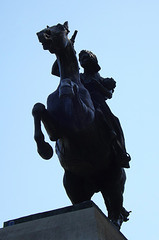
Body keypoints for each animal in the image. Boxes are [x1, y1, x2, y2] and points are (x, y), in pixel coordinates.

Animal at [32, 21, 129, 229]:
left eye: (59, 27)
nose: (42, 34)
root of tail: (97, 184)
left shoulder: (81, 119)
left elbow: (72, 90)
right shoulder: (59, 129)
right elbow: (38, 108)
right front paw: (44, 149)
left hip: (115, 182)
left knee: (116, 212)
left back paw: (113, 222)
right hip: (73, 183)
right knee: (84, 202)